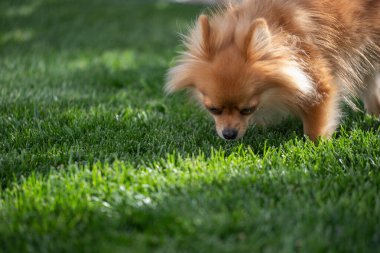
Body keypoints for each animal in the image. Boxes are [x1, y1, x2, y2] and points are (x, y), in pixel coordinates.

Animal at [166, 0, 380, 141]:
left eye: (247, 109)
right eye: (213, 110)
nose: (229, 135)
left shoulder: (317, 83)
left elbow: (315, 124)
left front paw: (315, 146)